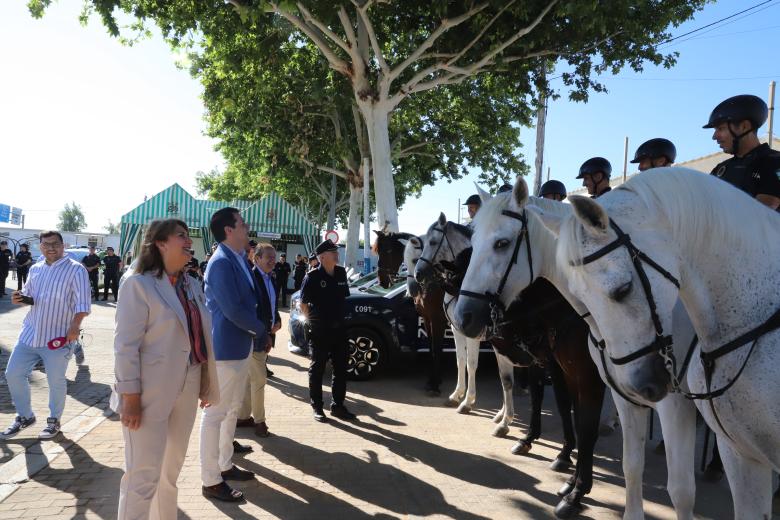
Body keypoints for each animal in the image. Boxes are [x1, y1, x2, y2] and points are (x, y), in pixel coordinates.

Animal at [414, 213, 516, 436]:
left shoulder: (472, 335)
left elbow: (471, 364)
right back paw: (501, 415)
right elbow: (460, 361)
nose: (417, 274)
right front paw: (456, 395)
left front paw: (468, 402)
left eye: (433, 242)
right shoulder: (456, 330)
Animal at [454, 177, 696, 516]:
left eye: (501, 243)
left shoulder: (590, 378)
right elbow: (570, 415)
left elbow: (586, 427)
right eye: (472, 245)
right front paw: (567, 472)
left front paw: (577, 490)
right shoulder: (564, 370)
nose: (463, 317)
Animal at [552, 168, 780, 520]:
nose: (643, 385)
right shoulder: (741, 454)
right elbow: (632, 465)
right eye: (578, 295)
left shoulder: (676, 407)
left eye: (623, 289)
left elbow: (680, 489)